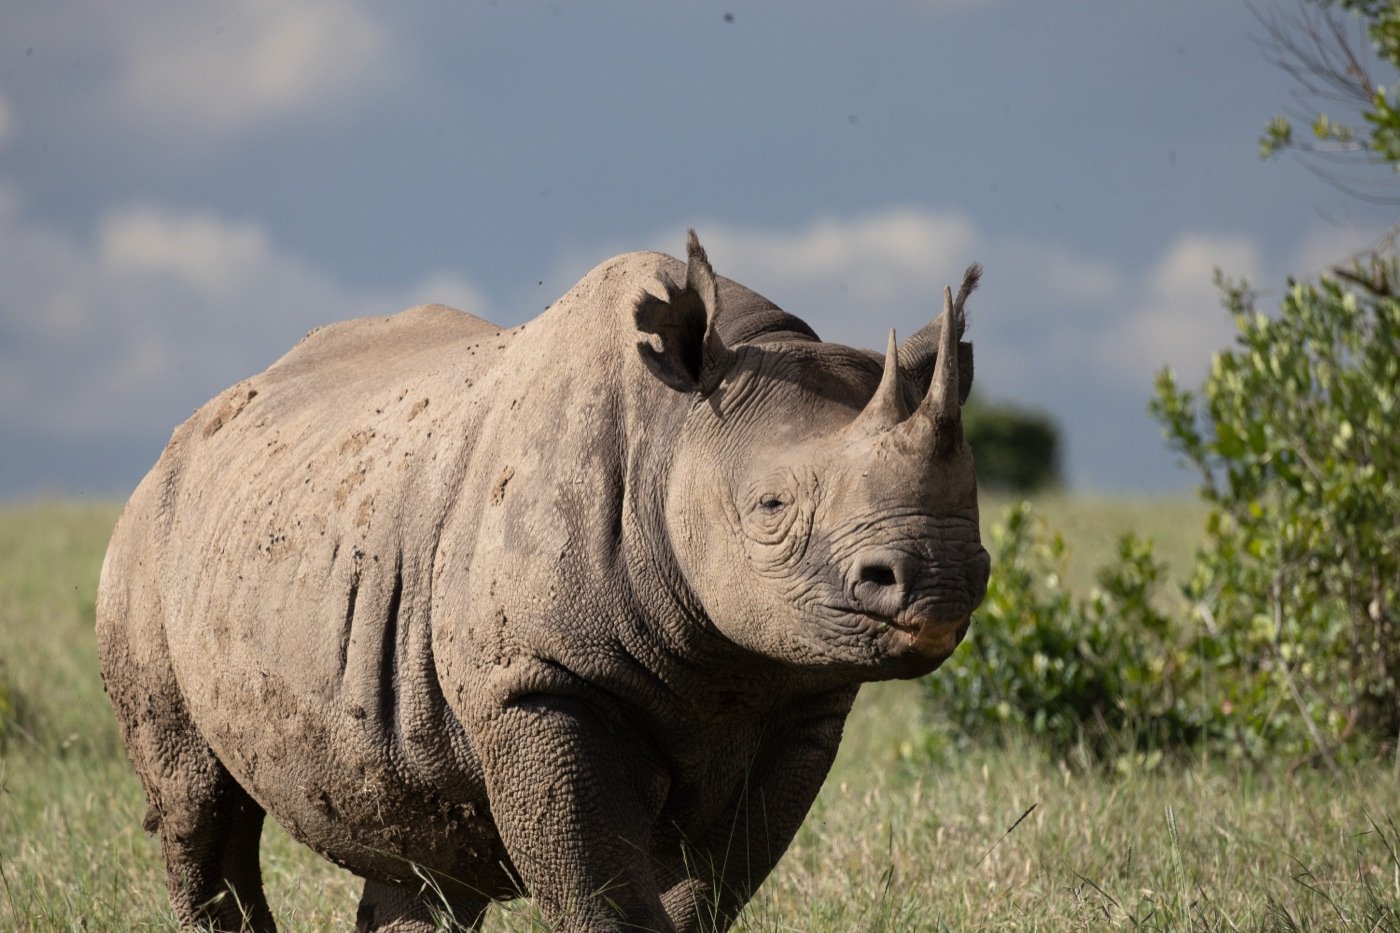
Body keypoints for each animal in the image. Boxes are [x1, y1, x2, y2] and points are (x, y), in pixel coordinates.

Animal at [96, 232, 990, 932]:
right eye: (771, 507)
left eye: (973, 496)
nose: (941, 577)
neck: (676, 431)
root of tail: (184, 433)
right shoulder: (537, 680)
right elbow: (602, 895)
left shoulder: (799, 703)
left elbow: (708, 891)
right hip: (147, 540)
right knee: (197, 803)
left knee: (417, 847)